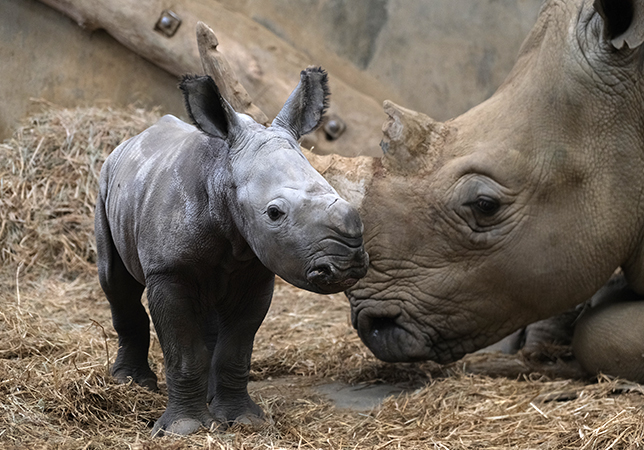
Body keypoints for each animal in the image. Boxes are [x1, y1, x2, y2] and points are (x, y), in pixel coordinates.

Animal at [94, 67, 368, 436]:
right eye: (274, 213)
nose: (347, 263)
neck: (221, 175)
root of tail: (133, 139)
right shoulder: (167, 271)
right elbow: (184, 351)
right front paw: (185, 428)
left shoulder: (255, 271)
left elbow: (236, 350)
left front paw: (242, 420)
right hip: (105, 183)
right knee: (115, 283)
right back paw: (130, 383)